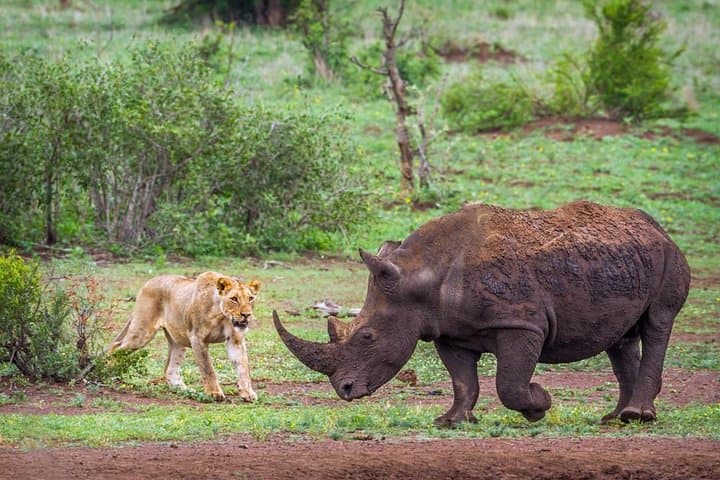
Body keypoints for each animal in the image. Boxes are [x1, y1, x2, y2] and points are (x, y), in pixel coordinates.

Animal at [109, 271, 261, 402]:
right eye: (234, 299)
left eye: (251, 299)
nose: (246, 315)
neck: (222, 316)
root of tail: (149, 281)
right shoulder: (197, 338)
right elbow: (208, 368)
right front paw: (214, 393)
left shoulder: (235, 340)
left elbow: (243, 367)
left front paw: (248, 393)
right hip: (142, 332)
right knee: (115, 346)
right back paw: (109, 372)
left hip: (178, 339)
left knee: (170, 370)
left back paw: (188, 391)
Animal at [273, 201, 690, 426]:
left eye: (366, 336)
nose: (343, 391)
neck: (420, 273)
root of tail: (658, 228)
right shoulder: (449, 331)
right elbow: (462, 380)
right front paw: (451, 421)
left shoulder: (522, 323)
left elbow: (509, 383)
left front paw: (540, 404)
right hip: (626, 260)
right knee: (621, 337)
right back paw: (614, 417)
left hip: (669, 257)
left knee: (658, 322)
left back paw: (637, 415)